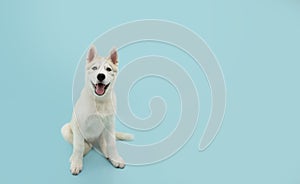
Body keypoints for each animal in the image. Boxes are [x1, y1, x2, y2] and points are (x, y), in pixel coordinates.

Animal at [61, 45, 132, 175]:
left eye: (108, 69)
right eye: (94, 68)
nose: (101, 76)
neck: (99, 102)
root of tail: (93, 141)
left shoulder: (110, 124)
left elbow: (112, 144)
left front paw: (115, 157)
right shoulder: (78, 126)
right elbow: (78, 147)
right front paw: (76, 162)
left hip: (103, 134)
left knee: (104, 144)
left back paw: (108, 154)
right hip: (66, 129)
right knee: (84, 146)